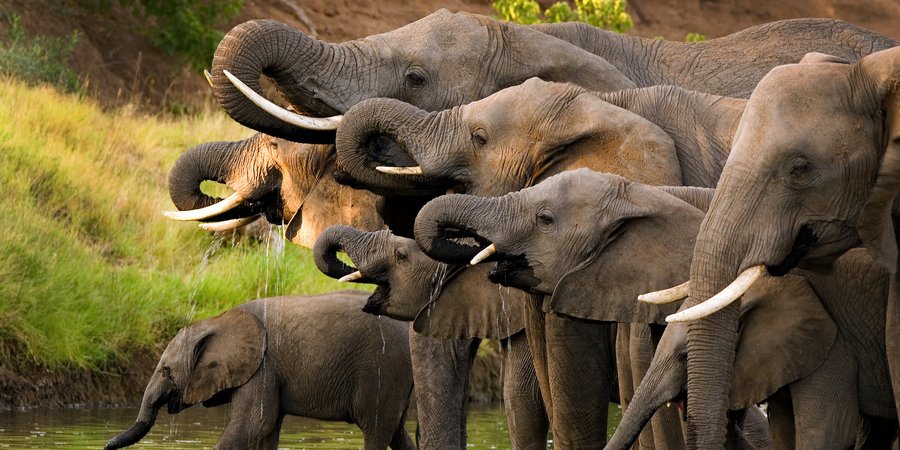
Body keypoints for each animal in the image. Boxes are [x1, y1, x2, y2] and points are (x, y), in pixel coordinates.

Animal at [105, 291, 415, 450]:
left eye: (167, 371)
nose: (106, 444)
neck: (218, 320)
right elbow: (266, 431)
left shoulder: (263, 366)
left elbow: (253, 425)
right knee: (397, 434)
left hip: (383, 369)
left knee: (376, 430)